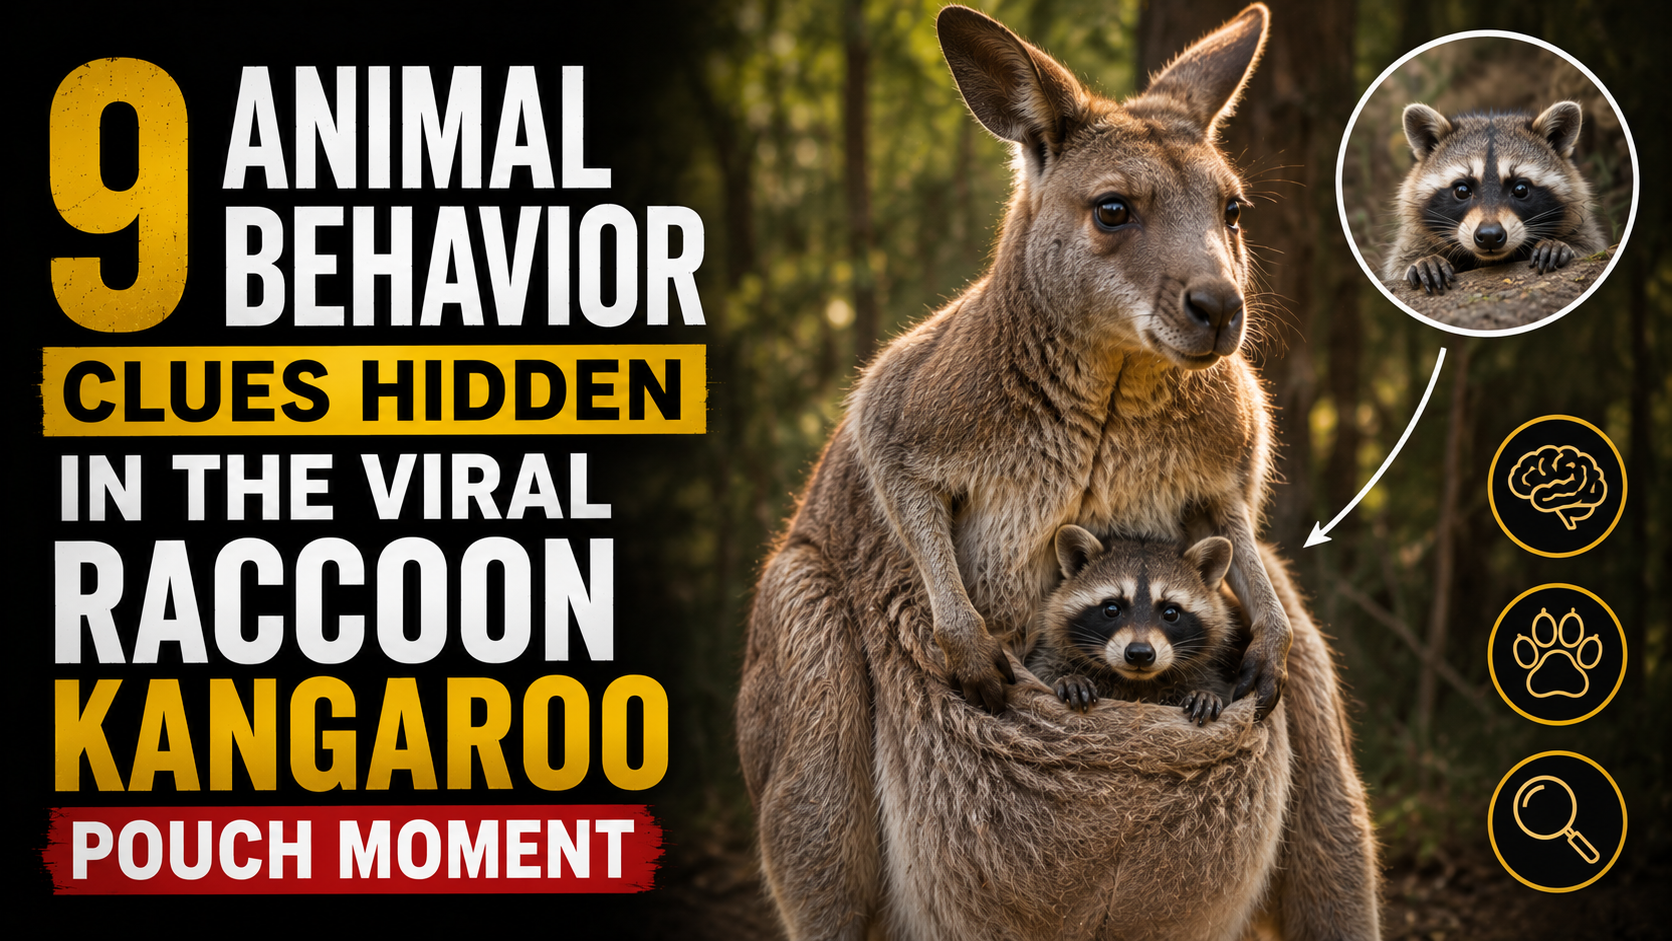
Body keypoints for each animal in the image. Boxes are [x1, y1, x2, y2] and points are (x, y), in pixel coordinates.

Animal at [1027, 525, 1249, 725]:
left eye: (1170, 613)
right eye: (1112, 609)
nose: (1140, 653)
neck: (1135, 683)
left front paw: (1204, 694)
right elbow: (1045, 670)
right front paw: (1069, 678)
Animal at [1384, 101, 1607, 294]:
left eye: (1520, 189)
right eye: (1462, 191)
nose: (1489, 235)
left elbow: (1591, 246)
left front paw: (1559, 245)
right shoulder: (1414, 234)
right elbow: (1400, 261)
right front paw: (1423, 260)